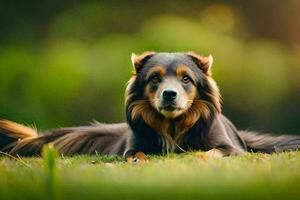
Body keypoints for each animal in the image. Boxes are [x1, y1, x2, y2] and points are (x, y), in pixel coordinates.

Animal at [0, 51, 300, 162]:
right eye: (154, 78)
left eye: (186, 79)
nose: (169, 94)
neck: (173, 125)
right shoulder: (132, 145)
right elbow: (135, 153)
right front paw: (138, 160)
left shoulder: (231, 148)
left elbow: (212, 151)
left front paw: (199, 156)